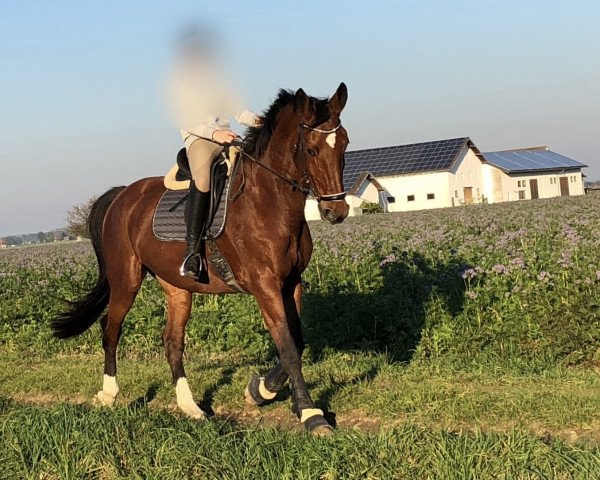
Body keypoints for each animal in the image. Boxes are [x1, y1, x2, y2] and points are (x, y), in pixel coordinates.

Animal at [52, 82, 352, 436]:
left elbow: (298, 343)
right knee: (111, 329)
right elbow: (289, 347)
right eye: (311, 150)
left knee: (172, 341)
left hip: (177, 287)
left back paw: (190, 407)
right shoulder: (265, 285)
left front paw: (261, 391)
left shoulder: (291, 283)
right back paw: (108, 394)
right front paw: (310, 413)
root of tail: (122, 195)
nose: (336, 211)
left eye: (344, 143)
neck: (267, 201)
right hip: (126, 279)